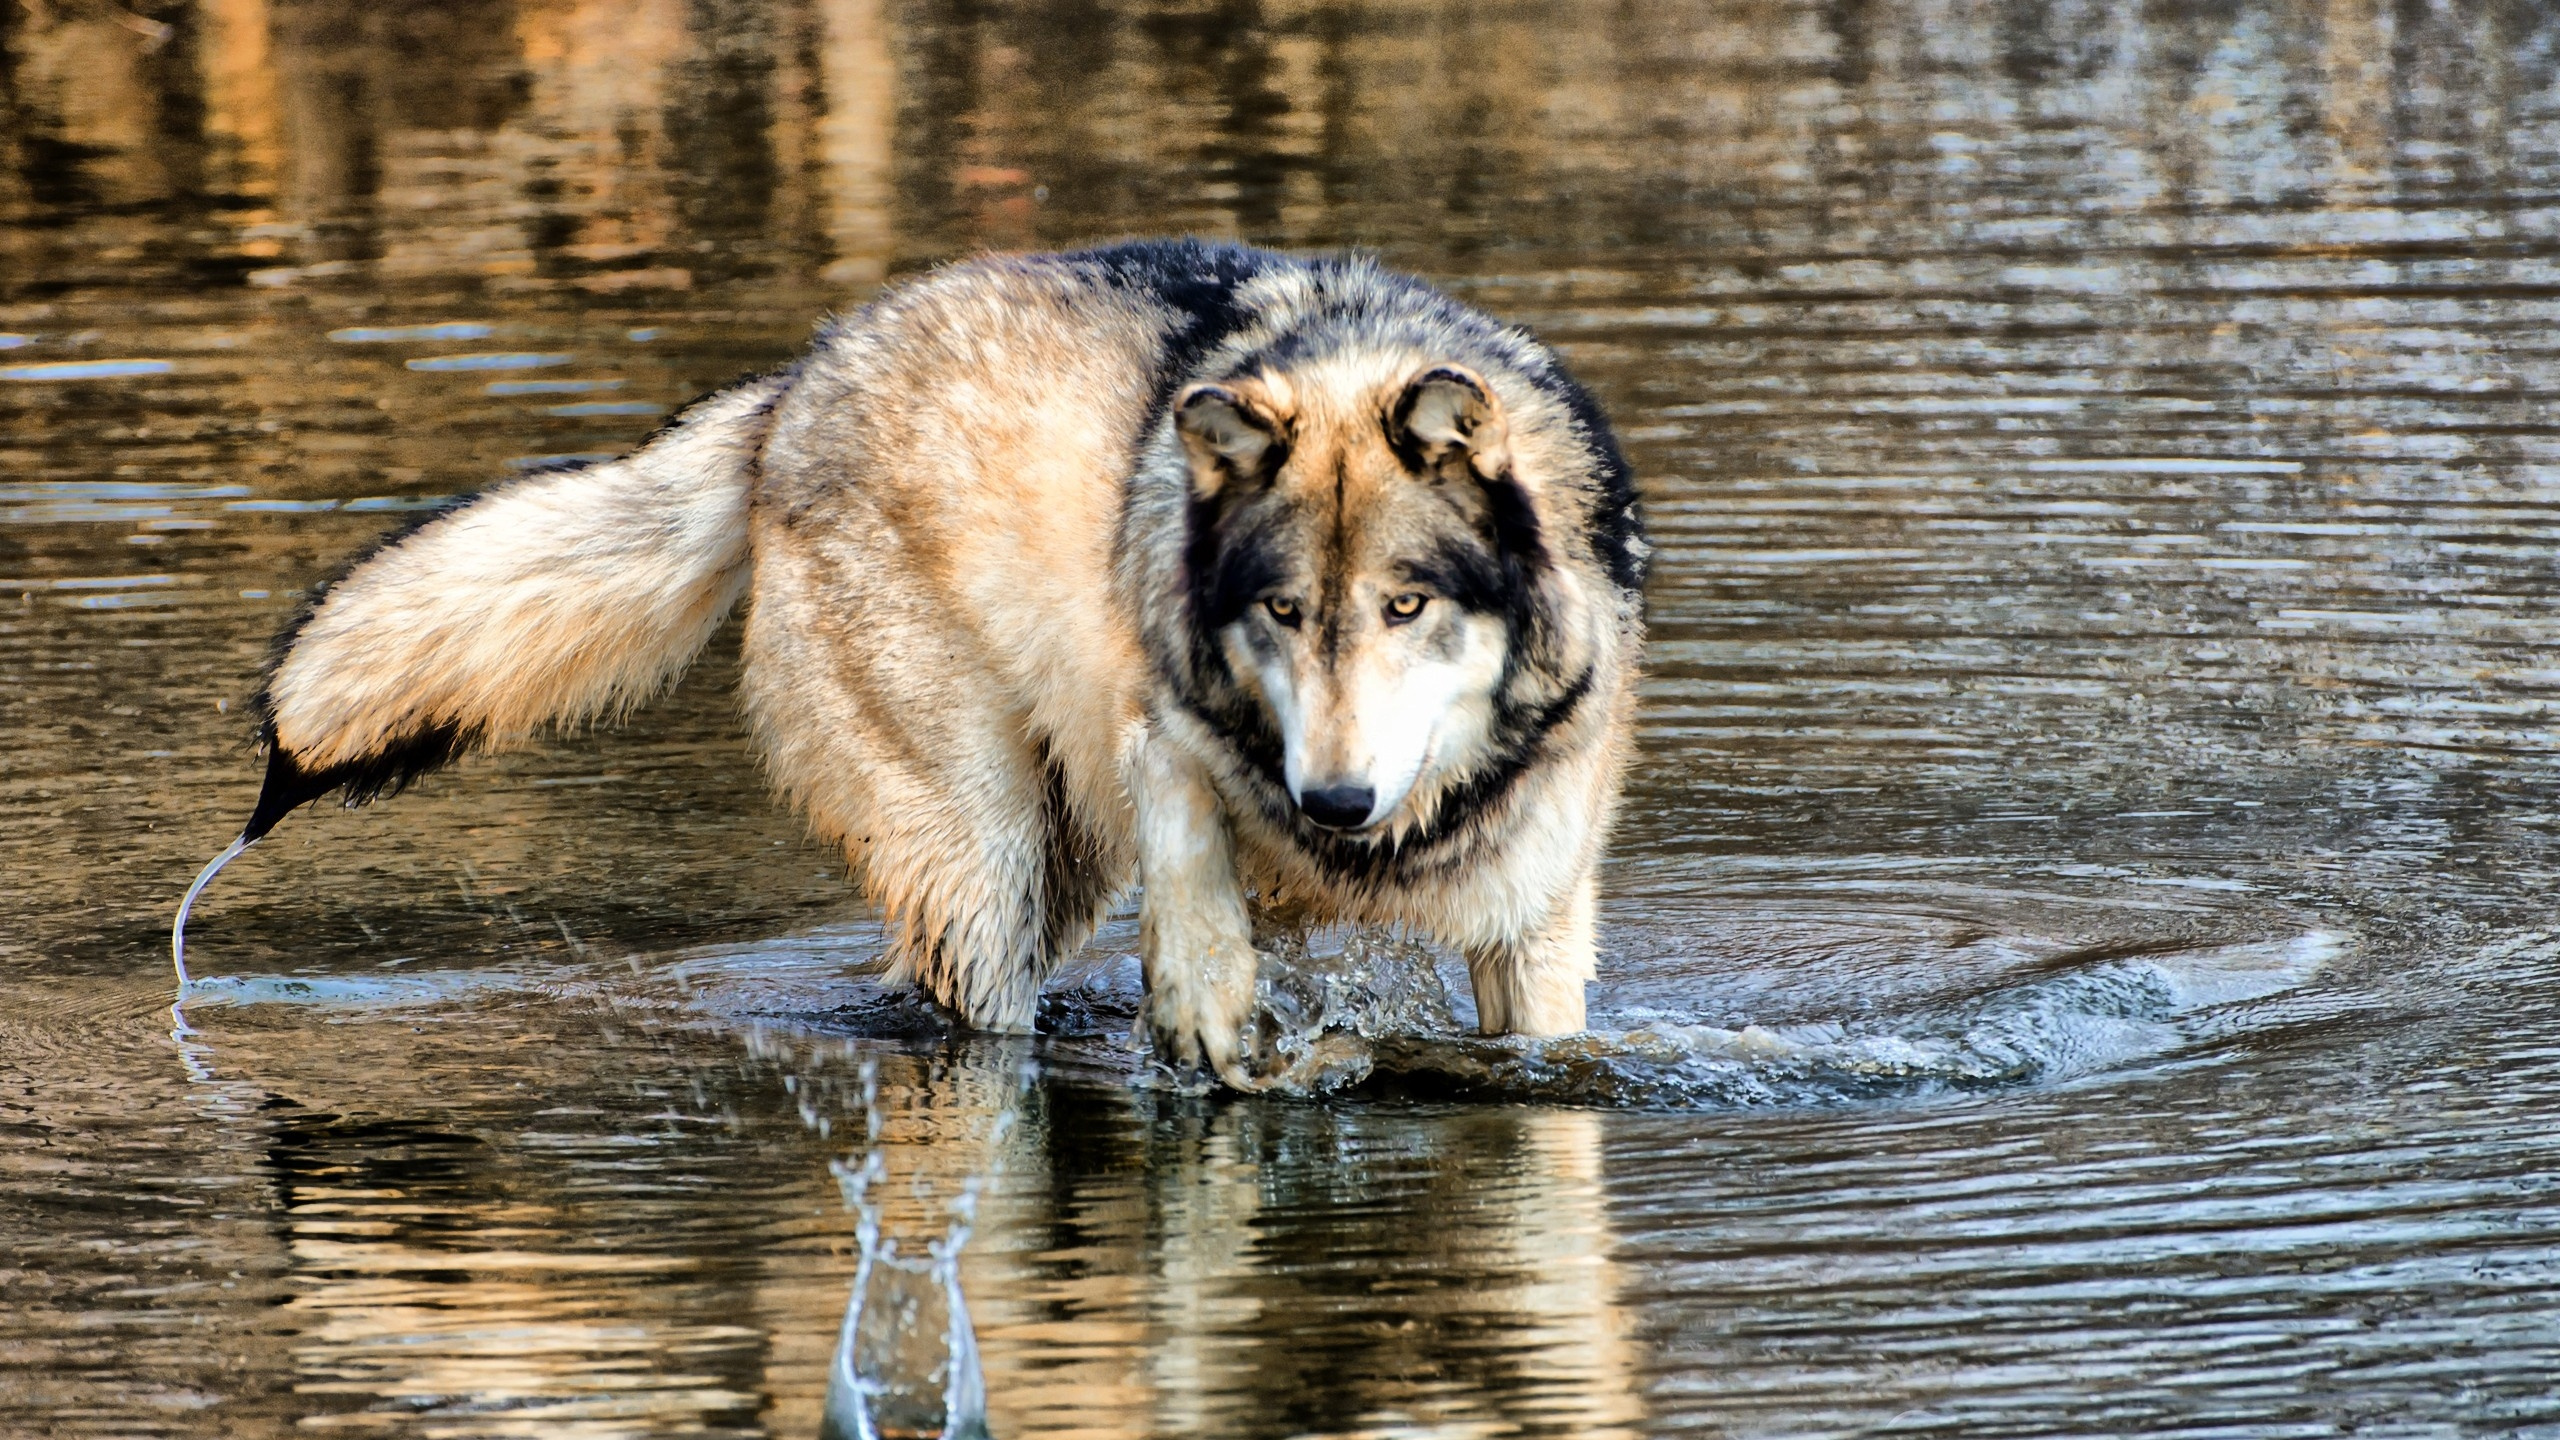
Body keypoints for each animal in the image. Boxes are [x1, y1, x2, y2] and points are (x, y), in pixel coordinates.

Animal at [185, 240, 1658, 1081]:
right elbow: (1192, 852)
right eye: (1286, 614)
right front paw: (1205, 1011)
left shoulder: (1534, 927)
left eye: (1405, 607)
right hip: (990, 860)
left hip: (1043, 869)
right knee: (978, 1017)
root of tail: (794, 384)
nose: (1333, 801)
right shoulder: (1159, 724)